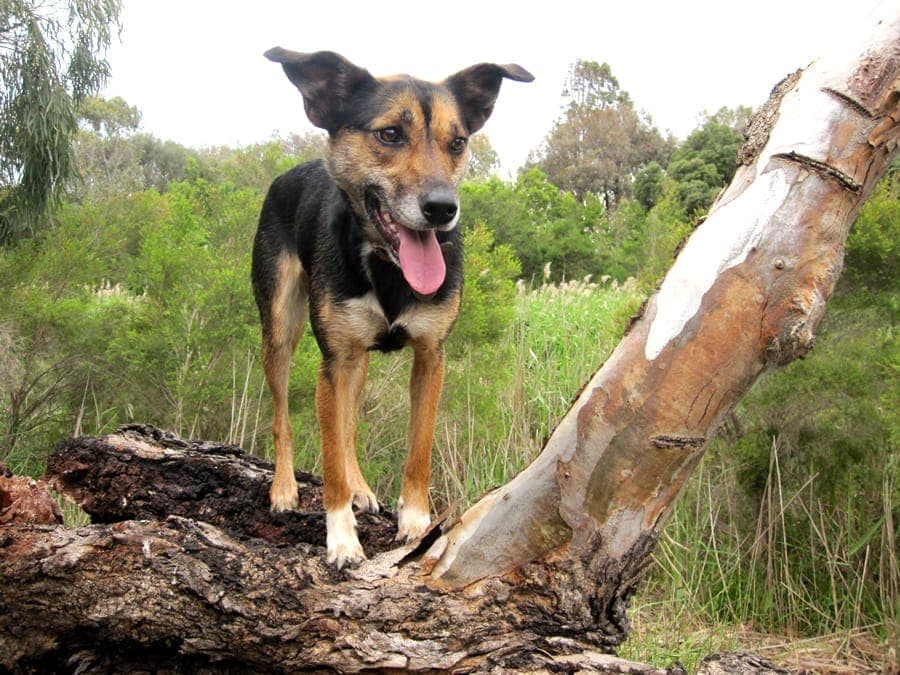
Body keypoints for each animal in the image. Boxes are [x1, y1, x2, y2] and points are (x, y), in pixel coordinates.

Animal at [251, 47, 536, 568]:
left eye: (457, 142)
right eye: (389, 134)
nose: (442, 208)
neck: (386, 267)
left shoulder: (430, 356)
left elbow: (416, 447)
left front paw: (416, 522)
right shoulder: (333, 361)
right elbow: (329, 460)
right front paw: (342, 539)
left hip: (357, 362)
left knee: (348, 429)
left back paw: (361, 487)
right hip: (280, 328)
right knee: (283, 416)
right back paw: (283, 488)